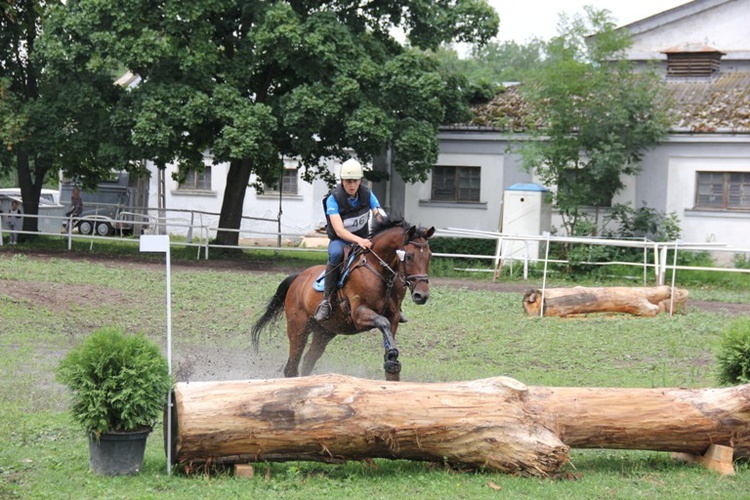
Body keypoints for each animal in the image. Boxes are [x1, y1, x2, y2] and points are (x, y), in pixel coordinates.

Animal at [254, 213, 438, 380]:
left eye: (429, 255)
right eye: (409, 256)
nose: (421, 295)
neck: (379, 271)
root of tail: (298, 278)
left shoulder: (394, 316)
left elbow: (389, 331)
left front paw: (391, 359)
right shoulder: (359, 314)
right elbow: (382, 322)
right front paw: (392, 354)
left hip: (324, 332)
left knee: (308, 361)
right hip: (298, 329)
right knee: (292, 366)